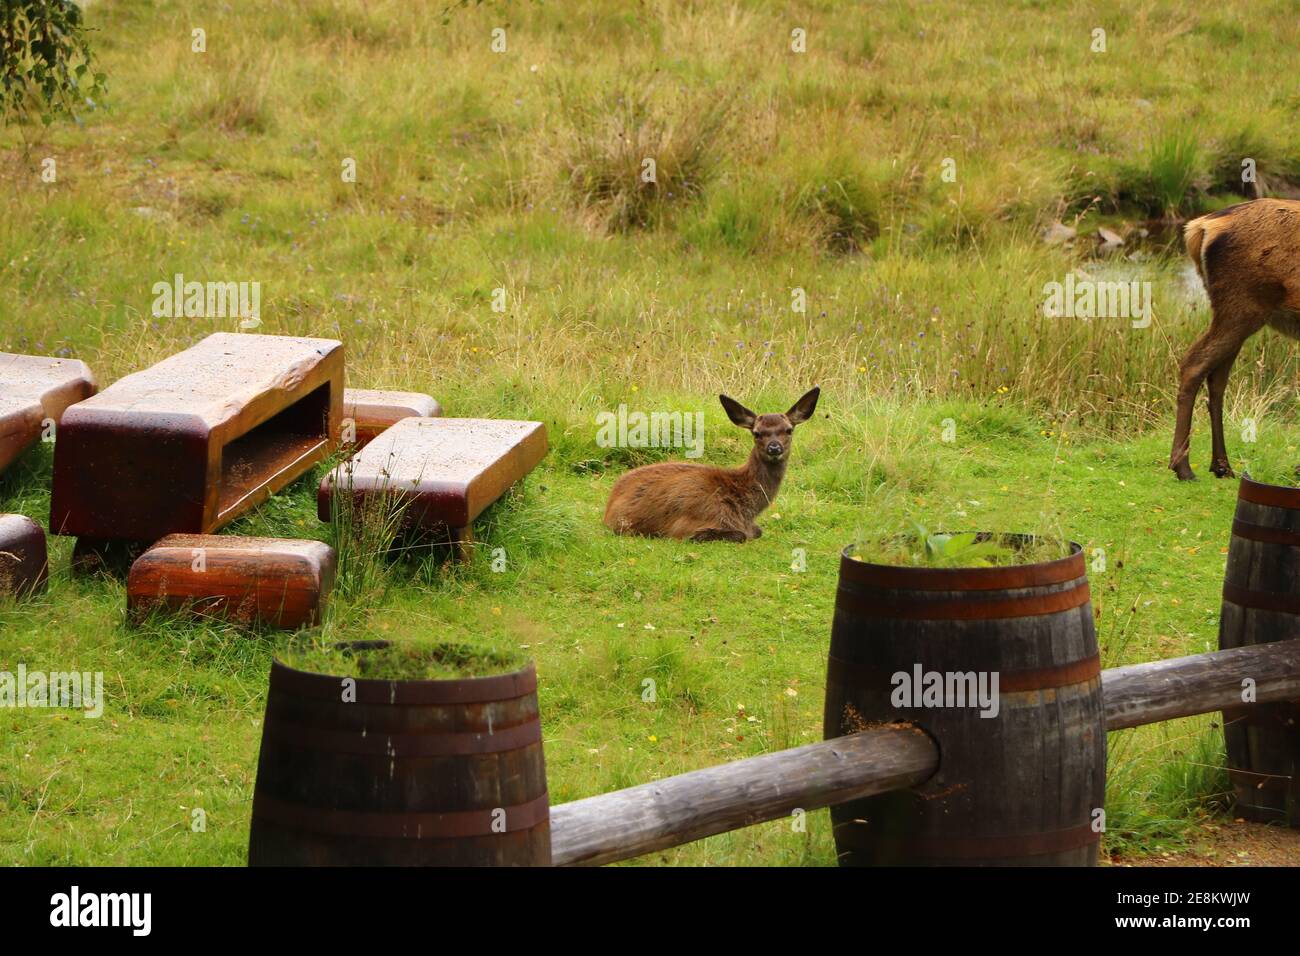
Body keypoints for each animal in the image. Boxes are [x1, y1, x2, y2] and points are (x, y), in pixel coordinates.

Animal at [603, 387, 820, 542]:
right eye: (757, 433)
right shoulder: (686, 525)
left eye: (789, 430)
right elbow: (741, 535)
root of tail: (610, 502)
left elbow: (758, 531)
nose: (774, 448)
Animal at [1170, 198, 1300, 481]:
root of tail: (1201, 226)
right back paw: (1183, 467)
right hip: (1241, 307)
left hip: (1234, 312)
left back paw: (1221, 464)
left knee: (1216, 378)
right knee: (1194, 364)